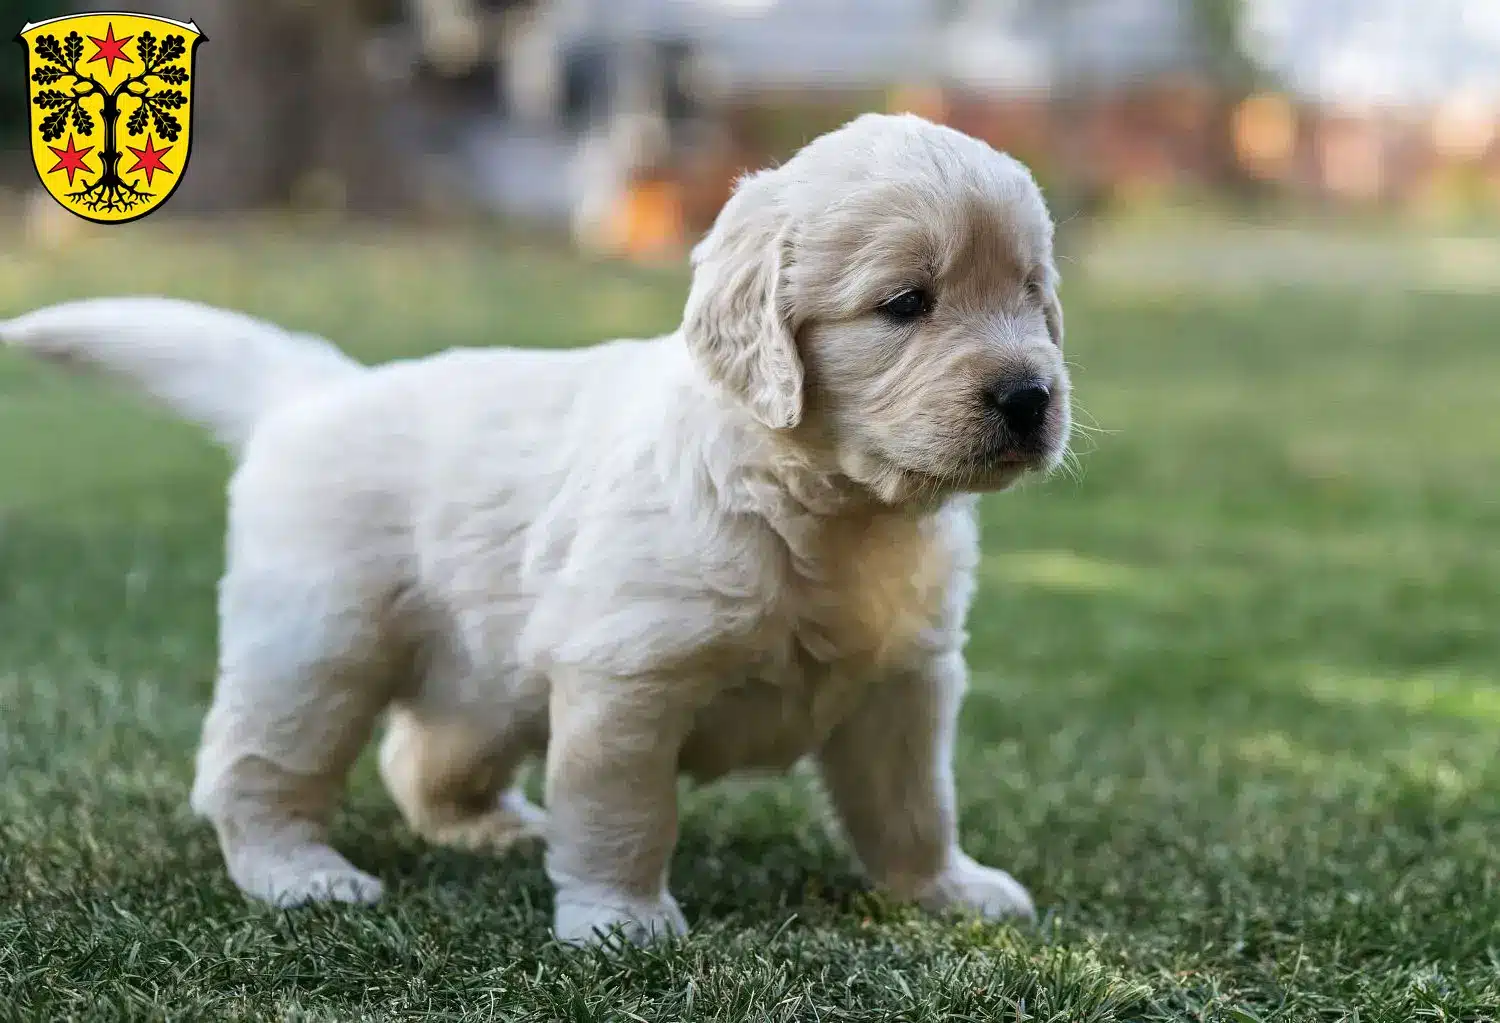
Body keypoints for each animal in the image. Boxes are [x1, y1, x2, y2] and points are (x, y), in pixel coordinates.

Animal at [5, 111, 1074, 942]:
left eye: (1033, 297)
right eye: (905, 303)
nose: (1030, 396)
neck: (828, 503)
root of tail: (316, 390)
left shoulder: (906, 682)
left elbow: (914, 805)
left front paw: (947, 890)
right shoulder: (629, 678)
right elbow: (623, 815)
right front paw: (620, 921)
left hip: (484, 672)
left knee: (420, 757)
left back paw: (491, 827)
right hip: (314, 647)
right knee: (254, 770)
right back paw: (300, 874)